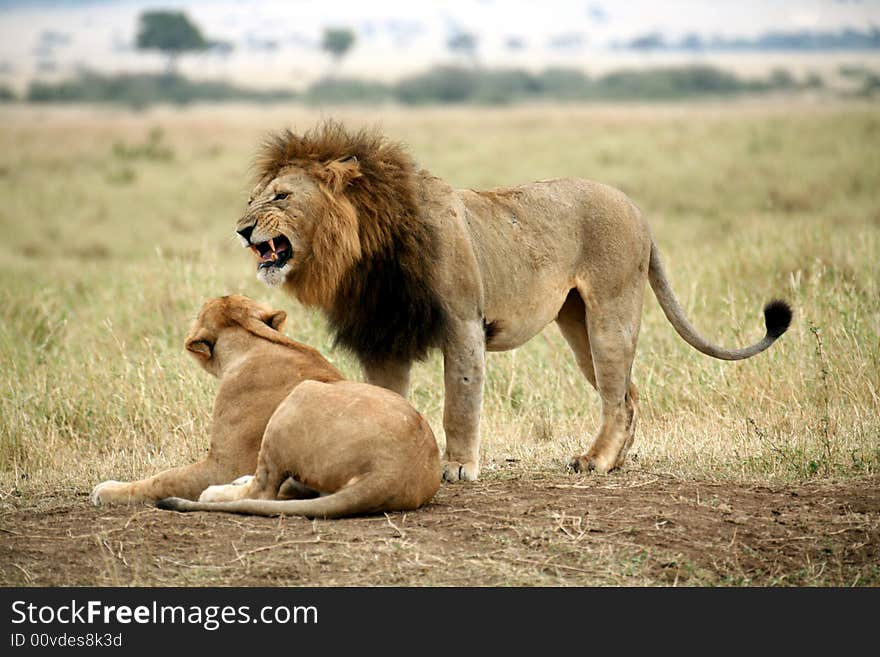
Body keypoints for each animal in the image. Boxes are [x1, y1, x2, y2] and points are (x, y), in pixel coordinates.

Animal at [91, 294, 440, 516]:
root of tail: (394, 472)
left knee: (263, 490)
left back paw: (218, 492)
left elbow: (163, 479)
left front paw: (107, 490)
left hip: (299, 396)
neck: (254, 340)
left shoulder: (223, 463)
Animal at [237, 123, 796, 480]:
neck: (363, 250)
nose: (242, 230)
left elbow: (460, 403)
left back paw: (593, 462)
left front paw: (459, 467)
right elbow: (386, 399)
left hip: (611, 312)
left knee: (616, 397)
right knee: (627, 394)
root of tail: (637, 211)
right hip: (577, 324)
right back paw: (613, 462)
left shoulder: (463, 322)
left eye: (281, 197)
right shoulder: (384, 335)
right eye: (252, 198)